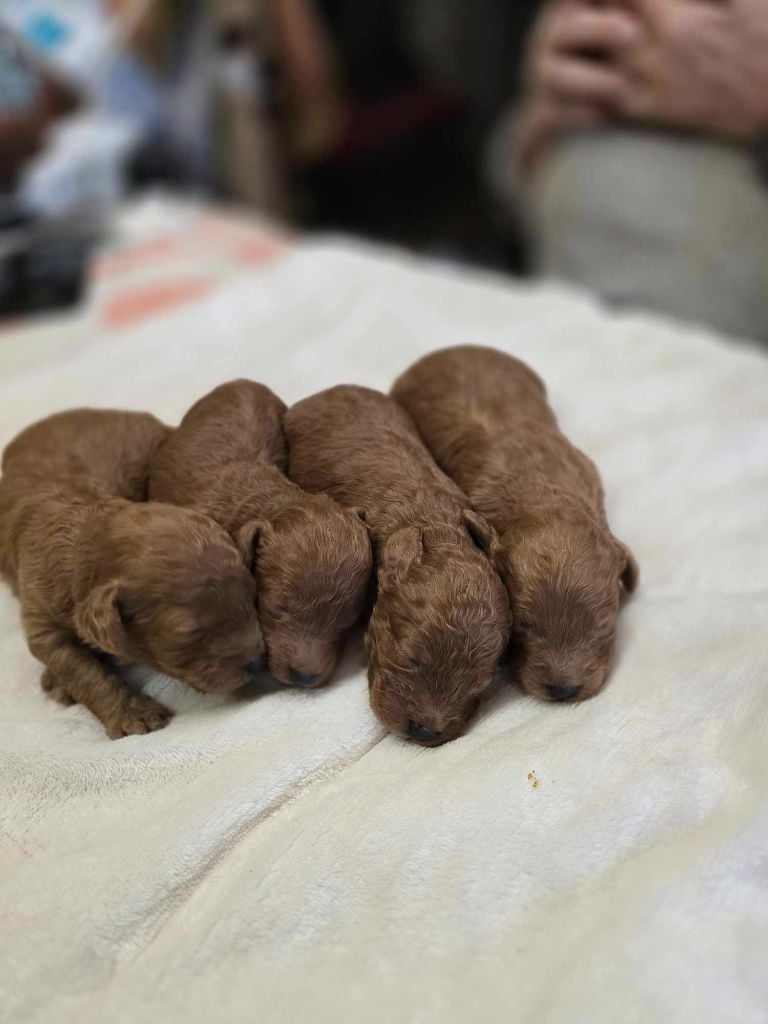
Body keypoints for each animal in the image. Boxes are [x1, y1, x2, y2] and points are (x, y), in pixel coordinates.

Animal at [0, 407, 266, 737]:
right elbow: (81, 670)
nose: (258, 662)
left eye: (252, 598)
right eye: (190, 634)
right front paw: (132, 713)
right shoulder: (40, 615)